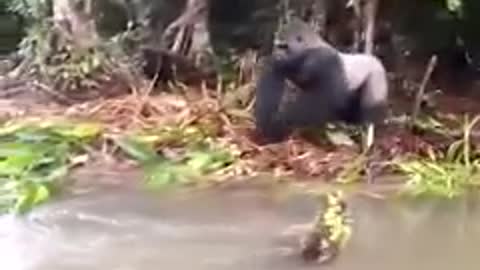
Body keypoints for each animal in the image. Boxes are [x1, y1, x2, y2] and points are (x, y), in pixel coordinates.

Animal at [253, 19, 388, 150]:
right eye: (278, 46)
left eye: (284, 46)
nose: (276, 55)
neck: (309, 49)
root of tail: (377, 61)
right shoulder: (287, 64)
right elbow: (273, 78)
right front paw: (266, 124)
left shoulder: (325, 62)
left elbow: (325, 100)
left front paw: (280, 123)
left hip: (377, 76)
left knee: (368, 107)